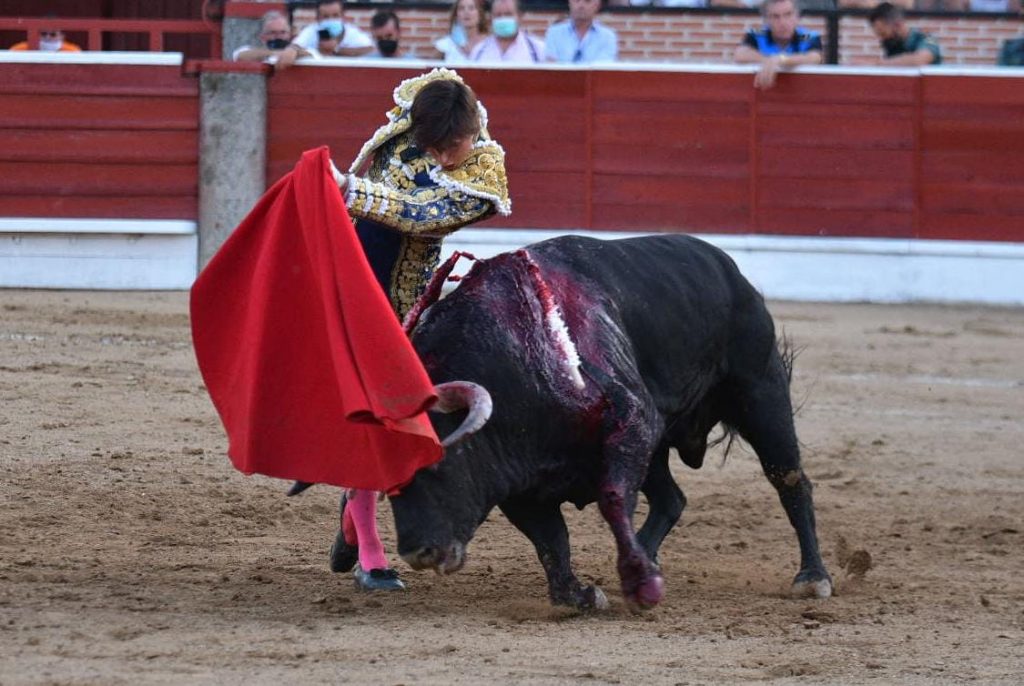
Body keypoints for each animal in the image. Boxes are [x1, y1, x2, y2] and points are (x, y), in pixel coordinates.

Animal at [391, 233, 831, 610]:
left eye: (437, 467)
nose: (417, 553)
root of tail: (729, 268)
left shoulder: (632, 421)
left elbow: (613, 498)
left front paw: (639, 586)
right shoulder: (515, 480)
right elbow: (551, 538)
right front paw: (578, 596)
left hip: (761, 391)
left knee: (790, 479)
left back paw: (813, 577)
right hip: (660, 446)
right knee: (672, 498)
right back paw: (646, 556)